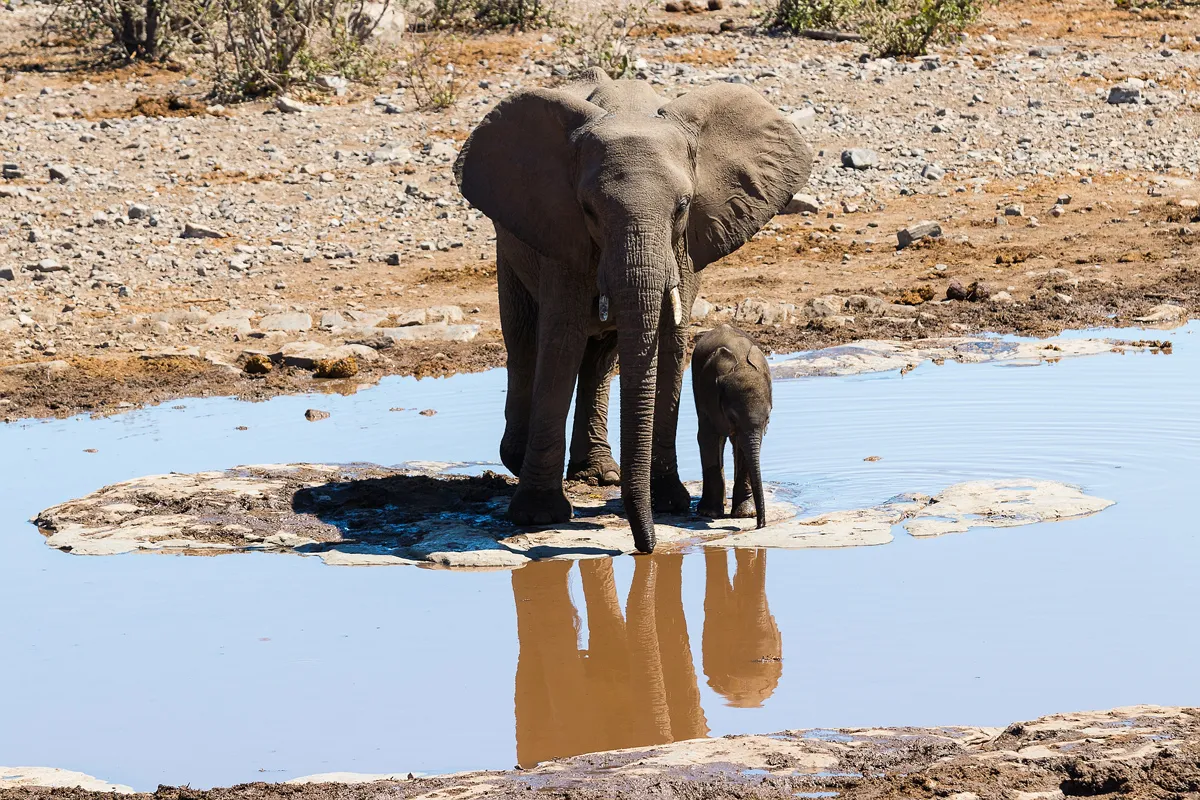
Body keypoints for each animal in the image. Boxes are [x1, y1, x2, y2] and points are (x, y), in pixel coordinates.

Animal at [692, 324, 772, 529]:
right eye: (732, 417)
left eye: (768, 418)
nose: (760, 525)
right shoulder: (708, 396)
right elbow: (708, 438)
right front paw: (709, 513)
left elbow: (743, 446)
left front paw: (745, 514)